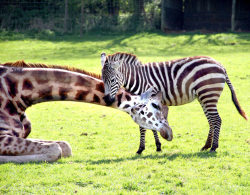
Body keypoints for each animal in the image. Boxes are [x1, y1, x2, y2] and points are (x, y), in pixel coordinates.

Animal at [0, 61, 172, 163]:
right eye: (156, 105)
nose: (169, 132)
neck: (17, 94)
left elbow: (64, 146)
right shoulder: (2, 136)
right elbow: (56, 149)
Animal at [100, 51, 247, 152]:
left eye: (112, 80)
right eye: (102, 78)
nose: (106, 99)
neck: (139, 80)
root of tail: (220, 65)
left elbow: (144, 125)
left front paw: (141, 149)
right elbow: (150, 124)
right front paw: (157, 146)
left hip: (208, 94)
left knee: (216, 119)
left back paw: (213, 147)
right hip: (204, 97)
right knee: (211, 120)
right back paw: (206, 146)